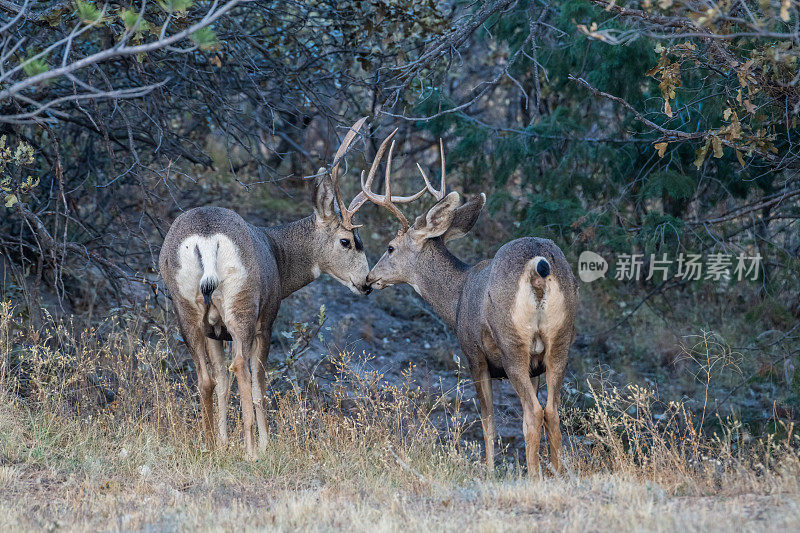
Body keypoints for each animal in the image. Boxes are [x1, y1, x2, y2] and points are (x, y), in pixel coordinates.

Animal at [156, 118, 424, 456]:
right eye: (347, 241)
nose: (366, 283)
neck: (277, 256)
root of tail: (206, 238)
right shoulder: (268, 316)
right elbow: (259, 381)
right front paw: (263, 445)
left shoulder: (214, 330)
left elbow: (221, 382)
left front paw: (222, 442)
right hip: (243, 303)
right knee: (242, 368)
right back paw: (251, 451)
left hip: (185, 305)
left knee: (207, 377)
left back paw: (208, 445)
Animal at [366, 138, 580, 474]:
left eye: (390, 247)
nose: (370, 278)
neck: (457, 295)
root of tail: (538, 266)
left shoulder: (474, 355)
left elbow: (487, 421)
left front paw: (489, 472)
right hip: (560, 342)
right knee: (552, 412)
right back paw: (558, 475)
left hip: (512, 344)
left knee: (532, 413)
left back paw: (533, 476)